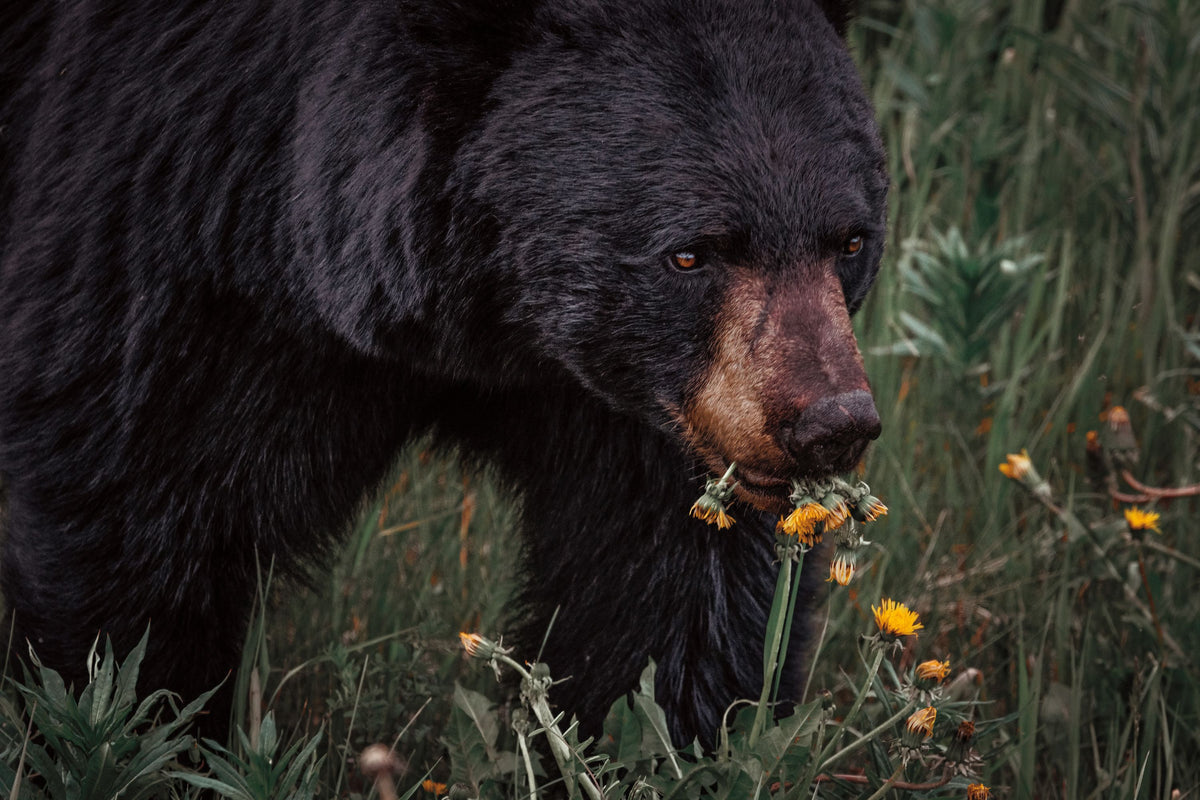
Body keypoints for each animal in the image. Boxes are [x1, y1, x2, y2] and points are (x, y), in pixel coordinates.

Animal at [0, 0, 886, 747]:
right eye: (692, 253)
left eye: (848, 240)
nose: (831, 423)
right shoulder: (181, 220)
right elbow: (145, 511)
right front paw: (135, 726)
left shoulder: (635, 394)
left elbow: (665, 578)